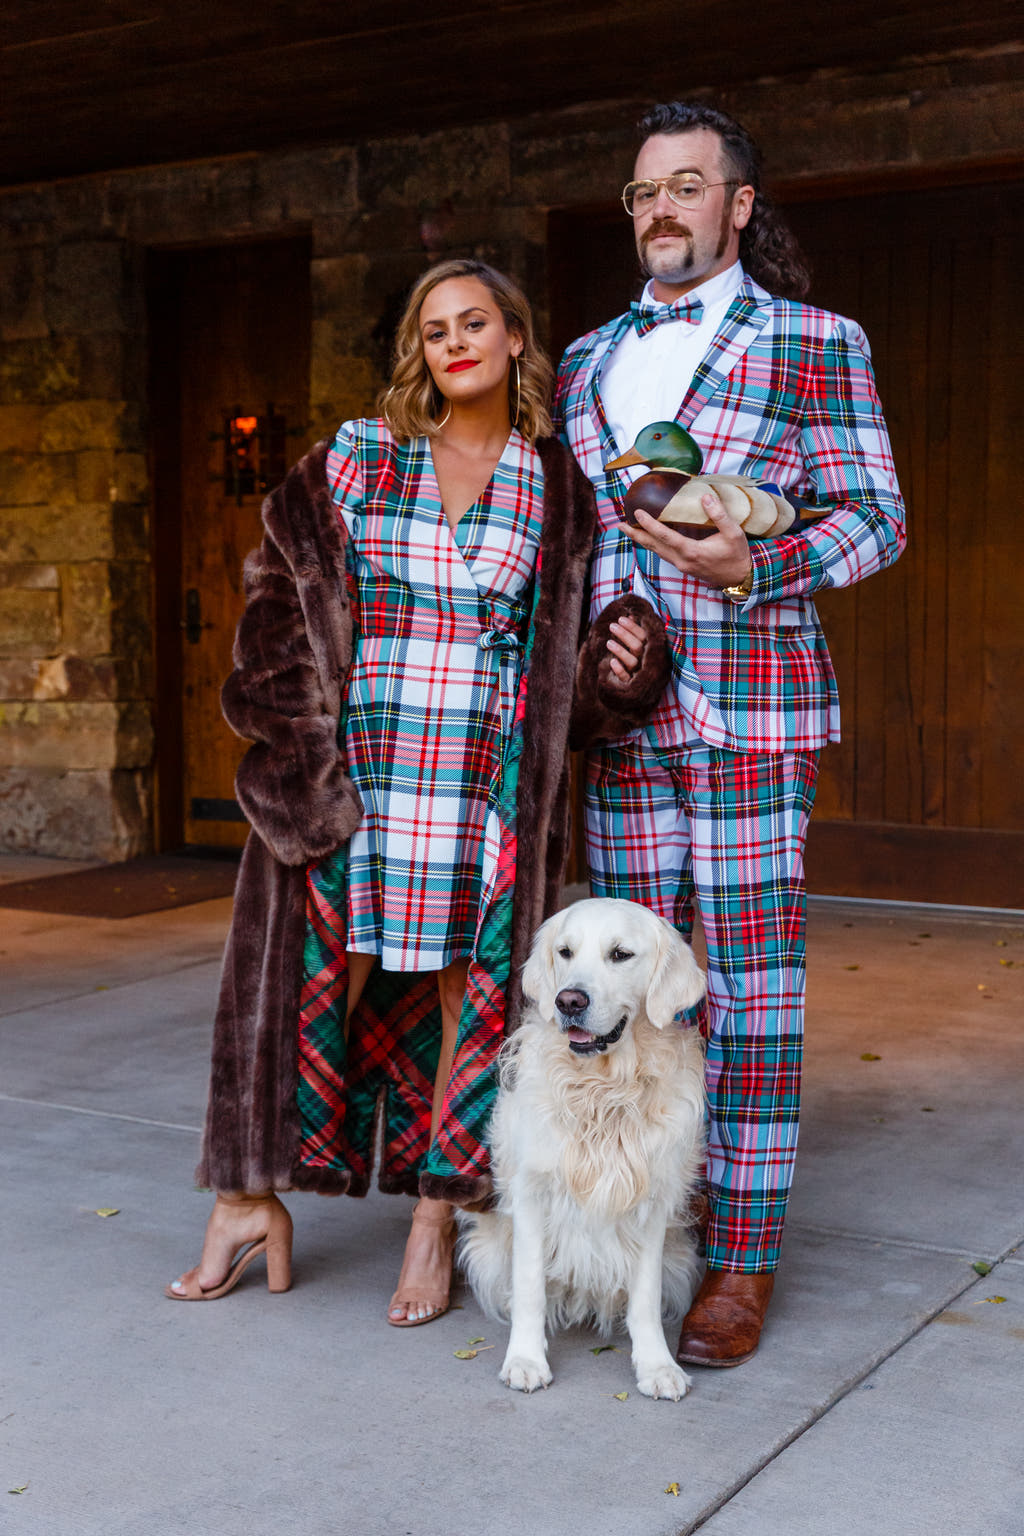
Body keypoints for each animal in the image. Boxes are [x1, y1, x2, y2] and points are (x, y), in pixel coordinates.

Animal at [457, 897, 706, 1400]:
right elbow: (530, 1286)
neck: (603, 1090)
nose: (568, 1000)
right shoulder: (532, 1193)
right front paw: (525, 1360)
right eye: (566, 952)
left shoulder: (652, 1202)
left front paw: (657, 1366)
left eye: (621, 955)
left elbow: (644, 1297)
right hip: (488, 1246)